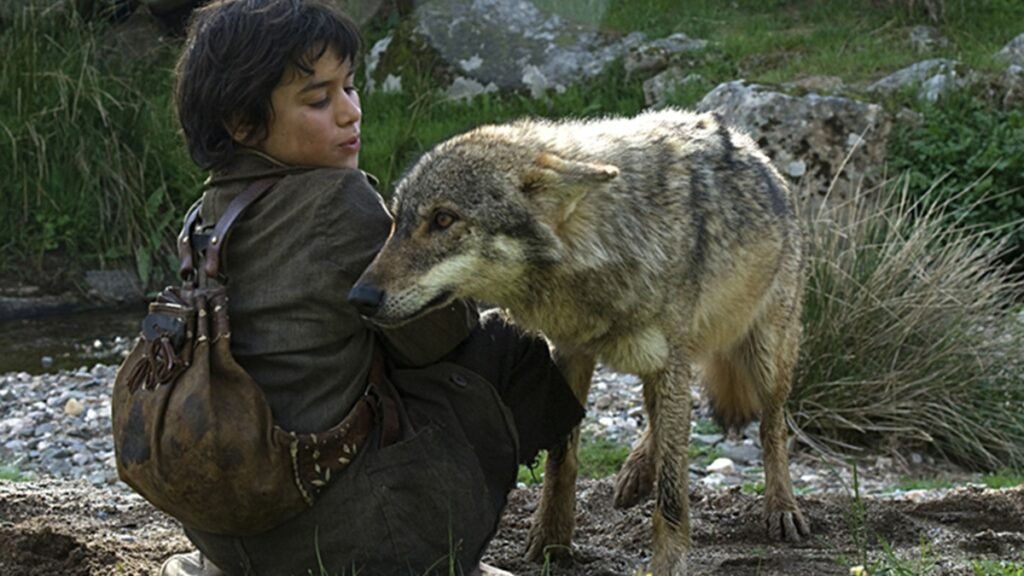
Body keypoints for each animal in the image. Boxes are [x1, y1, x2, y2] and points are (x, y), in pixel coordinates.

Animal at [348, 108, 810, 575]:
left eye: (443, 219)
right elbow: (562, 457)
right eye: (397, 221)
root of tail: (762, 156)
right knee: (661, 420)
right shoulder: (570, 353)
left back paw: (781, 508)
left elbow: (673, 486)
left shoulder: (667, 361)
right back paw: (635, 473)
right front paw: (551, 541)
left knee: (770, 427)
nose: (359, 298)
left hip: (766, 357)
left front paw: (667, 561)